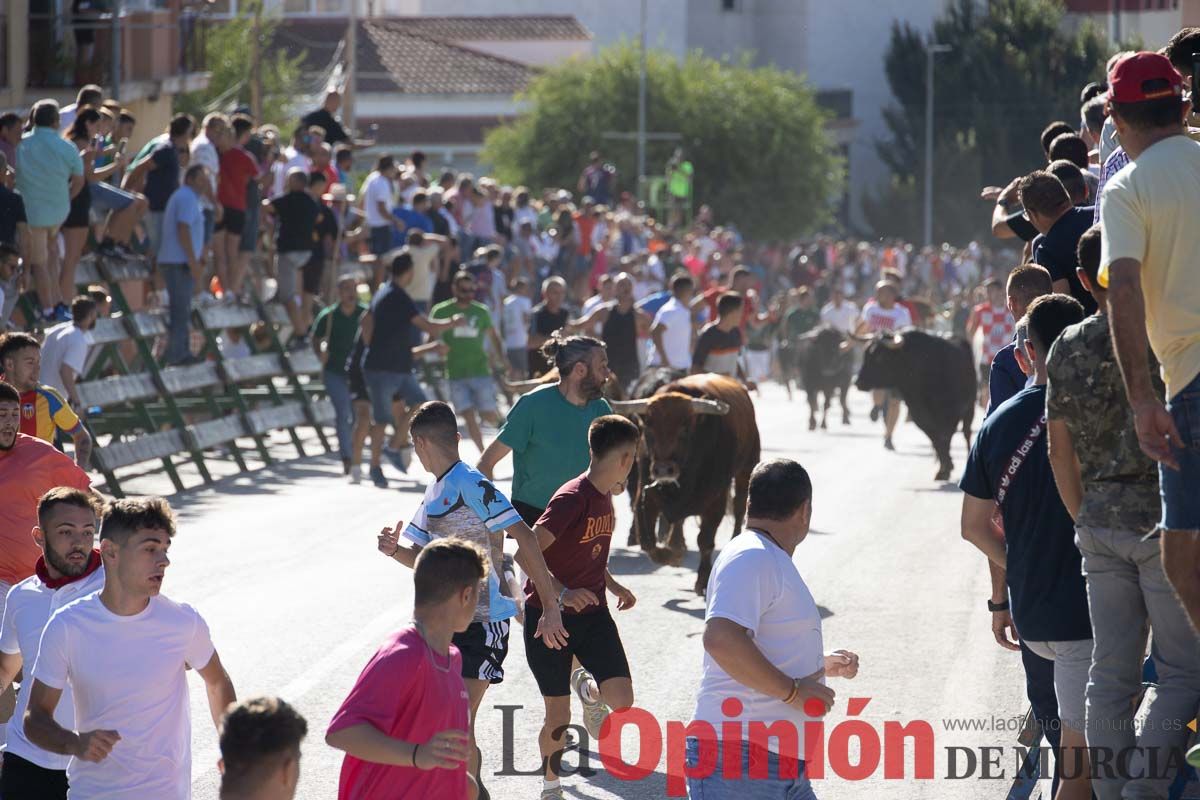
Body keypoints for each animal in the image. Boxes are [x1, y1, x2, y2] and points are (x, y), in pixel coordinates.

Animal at [619, 374, 758, 594]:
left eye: (684, 428)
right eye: (649, 427)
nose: (663, 470)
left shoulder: (715, 502)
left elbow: (705, 541)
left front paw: (702, 580)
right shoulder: (646, 495)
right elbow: (649, 544)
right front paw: (673, 556)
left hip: (747, 467)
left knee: (739, 507)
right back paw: (676, 543)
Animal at [854, 326, 974, 479]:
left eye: (880, 357)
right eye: (865, 354)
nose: (858, 382)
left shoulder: (950, 415)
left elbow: (944, 438)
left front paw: (946, 469)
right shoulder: (919, 417)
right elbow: (936, 440)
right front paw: (944, 468)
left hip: (970, 408)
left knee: (966, 432)